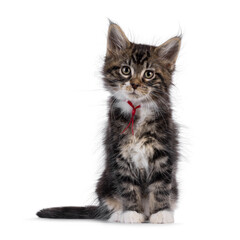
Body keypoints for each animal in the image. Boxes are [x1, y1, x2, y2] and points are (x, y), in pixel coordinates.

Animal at [36, 21, 181, 224]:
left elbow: (160, 186)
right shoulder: (119, 153)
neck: (137, 111)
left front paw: (161, 213)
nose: (134, 84)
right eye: (125, 70)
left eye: (149, 74)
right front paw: (131, 213)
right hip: (103, 184)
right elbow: (128, 187)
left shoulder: (163, 152)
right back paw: (119, 214)